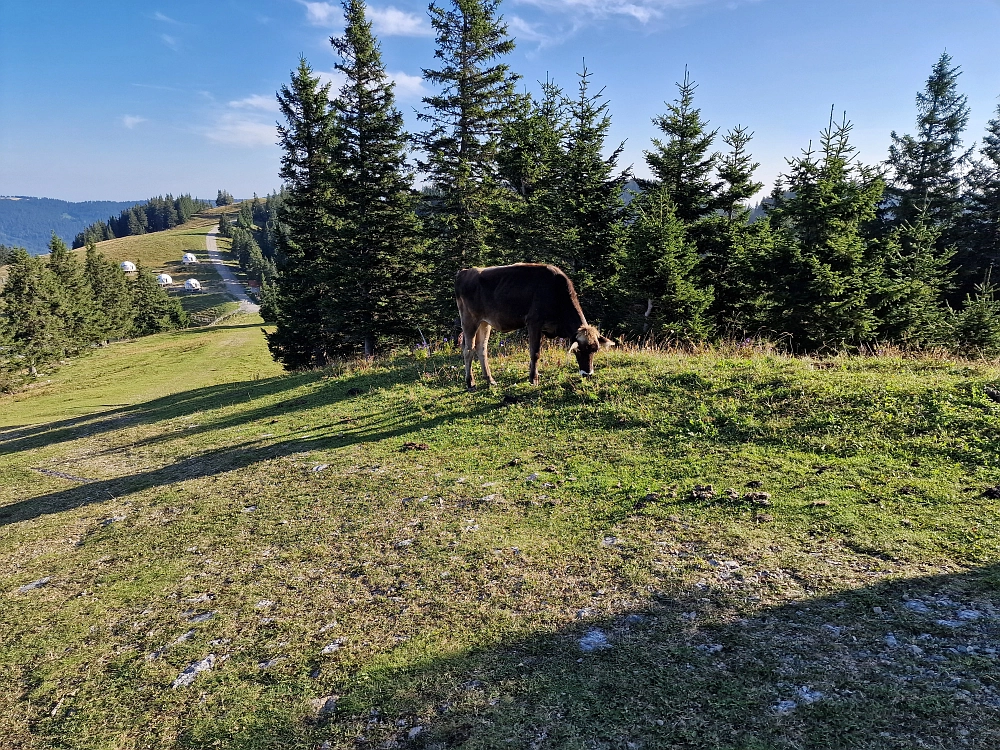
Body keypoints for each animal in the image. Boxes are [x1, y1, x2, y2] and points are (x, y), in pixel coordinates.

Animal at [458, 264, 612, 390]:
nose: (588, 374)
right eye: (579, 350)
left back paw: (490, 380)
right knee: (468, 350)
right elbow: (535, 352)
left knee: (482, 348)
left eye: (595, 350)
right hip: (469, 320)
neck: (555, 291)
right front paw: (533, 379)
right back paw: (470, 383)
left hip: (485, 322)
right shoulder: (534, 322)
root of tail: (464, 272)